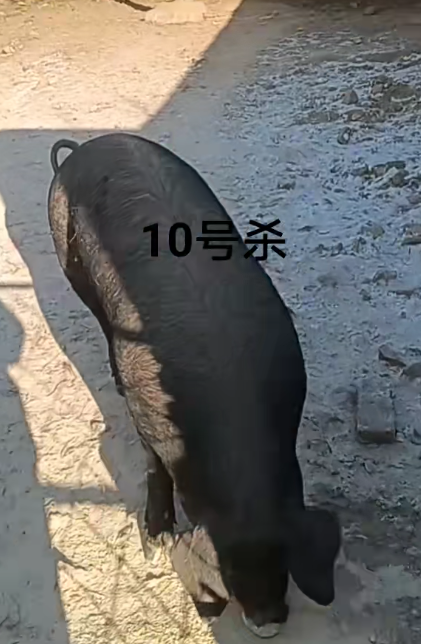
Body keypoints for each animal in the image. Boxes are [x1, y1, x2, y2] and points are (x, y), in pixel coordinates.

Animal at [47, 132, 341, 638]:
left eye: (281, 560)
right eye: (227, 574)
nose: (267, 623)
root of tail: (84, 146)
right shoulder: (148, 414)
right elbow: (154, 466)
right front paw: (155, 543)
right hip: (67, 259)